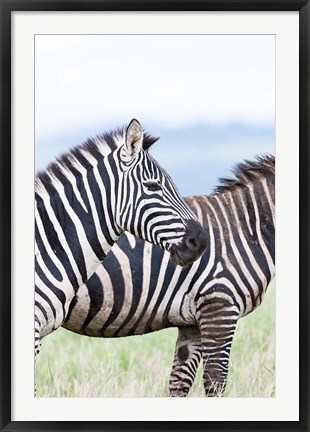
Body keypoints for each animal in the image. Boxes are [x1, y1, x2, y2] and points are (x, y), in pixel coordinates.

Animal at [61, 154, 274, 396]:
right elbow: (215, 380)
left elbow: (179, 382)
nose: (201, 245)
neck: (247, 228)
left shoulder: (193, 321)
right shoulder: (220, 306)